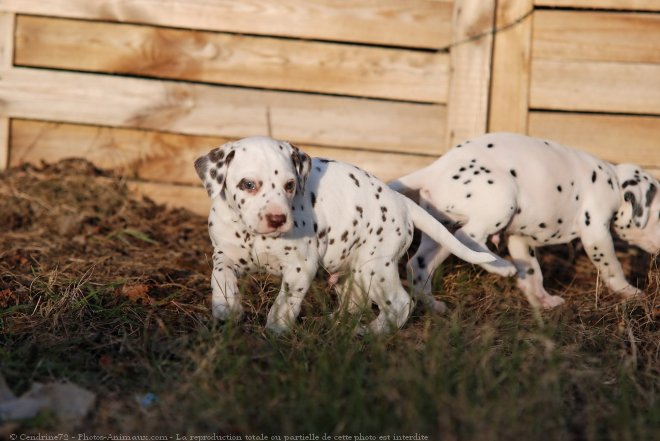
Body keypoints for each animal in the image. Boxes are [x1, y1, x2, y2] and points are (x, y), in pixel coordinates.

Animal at [192, 136, 496, 332]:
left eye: (290, 185)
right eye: (248, 184)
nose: (277, 219)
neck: (253, 233)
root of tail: (402, 202)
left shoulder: (300, 267)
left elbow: (285, 302)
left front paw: (276, 330)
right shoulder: (225, 254)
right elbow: (220, 277)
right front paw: (226, 308)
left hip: (375, 268)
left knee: (400, 304)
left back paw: (371, 332)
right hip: (354, 270)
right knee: (356, 303)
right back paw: (336, 322)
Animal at [390, 132, 656, 308]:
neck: (613, 181)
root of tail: (435, 168)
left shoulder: (520, 238)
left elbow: (532, 272)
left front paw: (541, 299)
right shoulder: (597, 235)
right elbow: (613, 267)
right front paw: (629, 291)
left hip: (440, 232)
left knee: (419, 264)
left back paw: (433, 306)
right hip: (501, 198)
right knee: (470, 236)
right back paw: (500, 266)